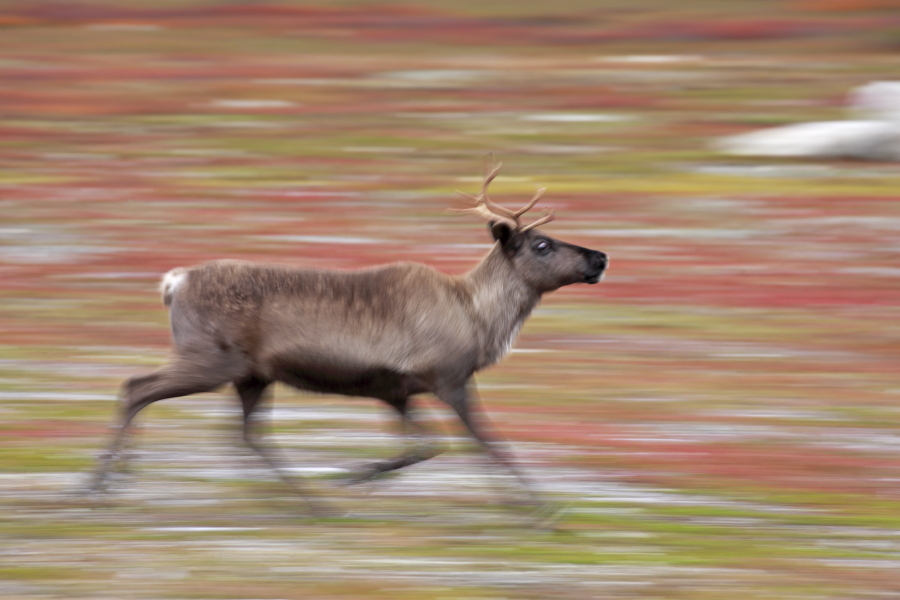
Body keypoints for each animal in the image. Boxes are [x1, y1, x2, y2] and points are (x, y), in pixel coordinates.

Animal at [89, 160, 608, 515]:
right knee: (136, 388)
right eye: (542, 244)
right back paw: (100, 484)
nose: (600, 257)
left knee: (246, 434)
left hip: (252, 375)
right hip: (212, 361)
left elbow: (423, 447)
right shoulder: (448, 378)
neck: (479, 318)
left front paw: (356, 477)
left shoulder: (396, 390)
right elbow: (486, 442)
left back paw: (309, 501)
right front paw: (540, 509)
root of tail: (173, 283)